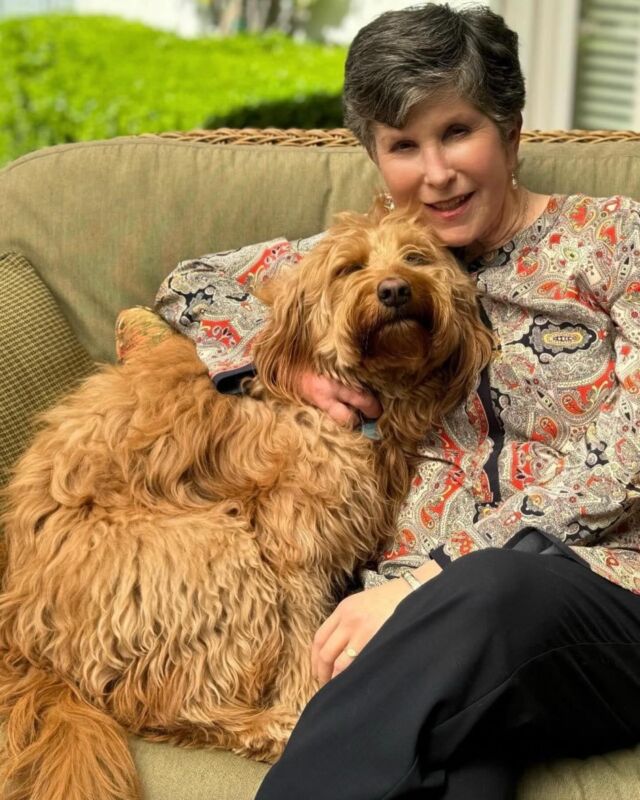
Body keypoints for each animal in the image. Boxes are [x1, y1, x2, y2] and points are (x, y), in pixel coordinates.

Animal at [0, 200, 492, 800]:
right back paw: (276, 728)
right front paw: (307, 705)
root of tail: (25, 639)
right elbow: (304, 642)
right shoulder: (295, 548)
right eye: (349, 268)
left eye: (416, 258)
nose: (396, 289)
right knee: (179, 706)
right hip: (216, 550)